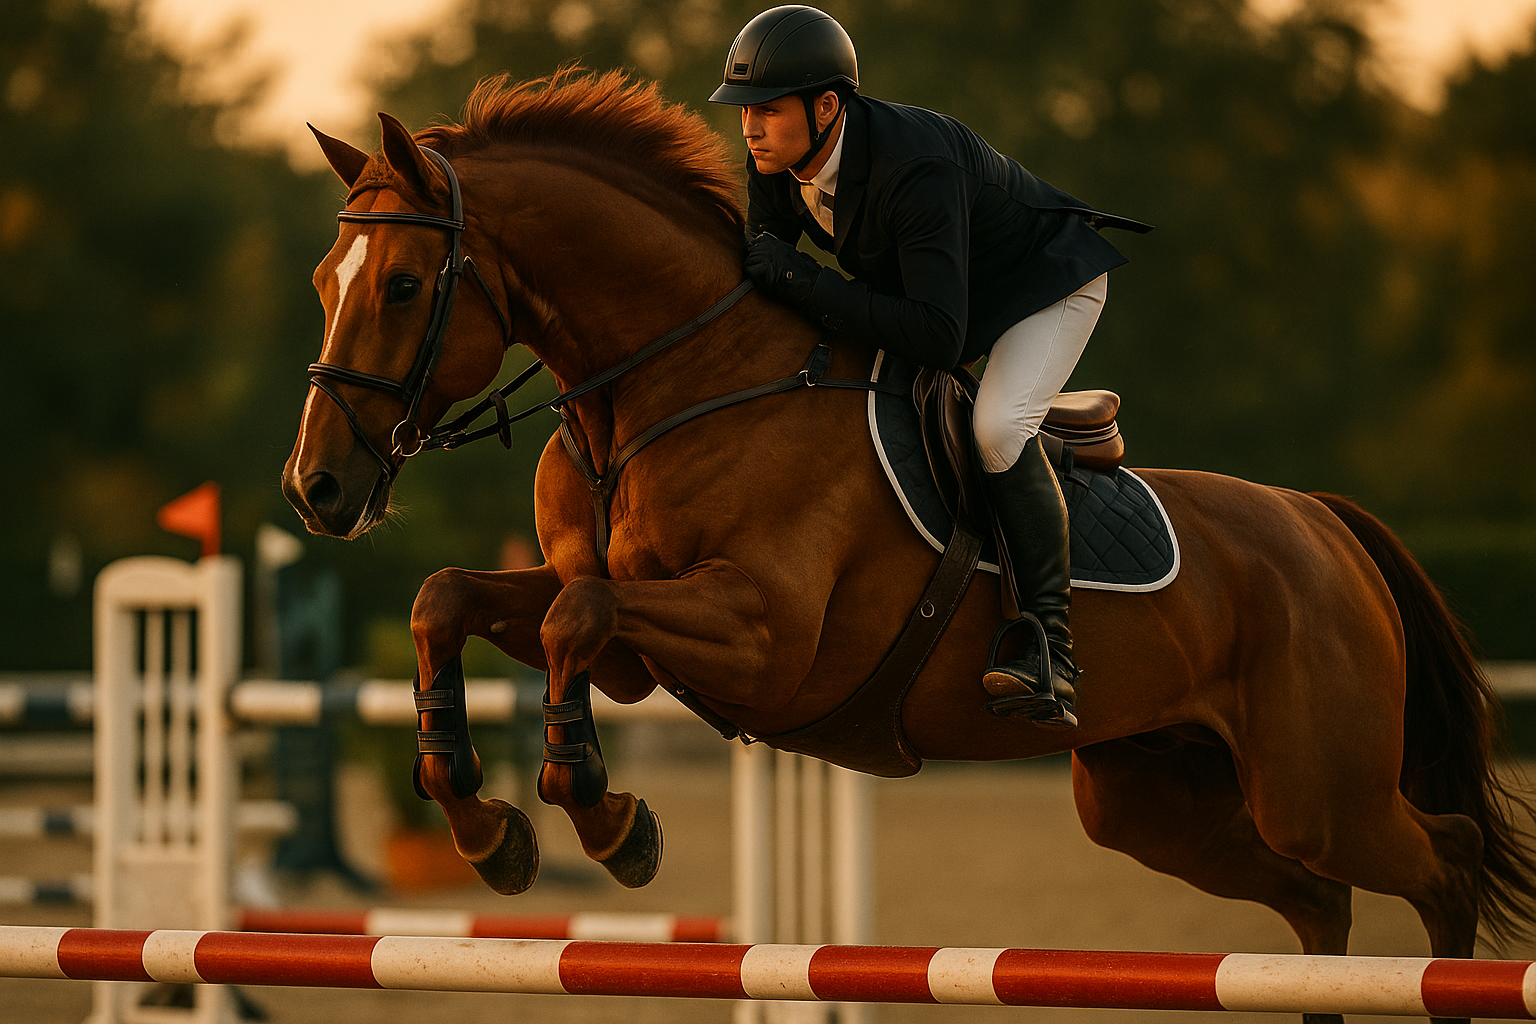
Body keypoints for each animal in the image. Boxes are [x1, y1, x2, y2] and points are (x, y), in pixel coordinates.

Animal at [282, 68, 1536, 1020]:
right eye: (324, 282)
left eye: (403, 284)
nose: (318, 488)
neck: (673, 385)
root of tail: (1321, 522)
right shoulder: (637, 639)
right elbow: (455, 599)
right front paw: (488, 826)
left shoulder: (764, 637)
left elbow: (567, 619)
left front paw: (607, 817)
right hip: (1153, 798)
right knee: (1317, 906)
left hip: (1318, 786)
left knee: (1446, 856)